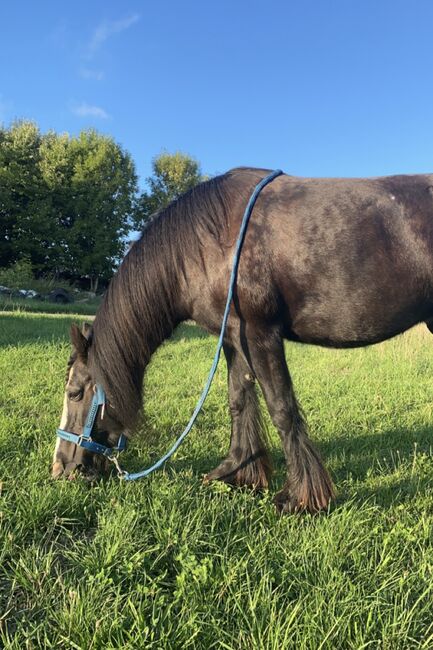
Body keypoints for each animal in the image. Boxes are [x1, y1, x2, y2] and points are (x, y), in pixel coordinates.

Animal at [52, 166, 432, 512]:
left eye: (74, 393)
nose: (60, 467)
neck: (210, 243)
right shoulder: (234, 338)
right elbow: (239, 399)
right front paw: (238, 471)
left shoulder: (260, 335)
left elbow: (281, 409)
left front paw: (301, 497)